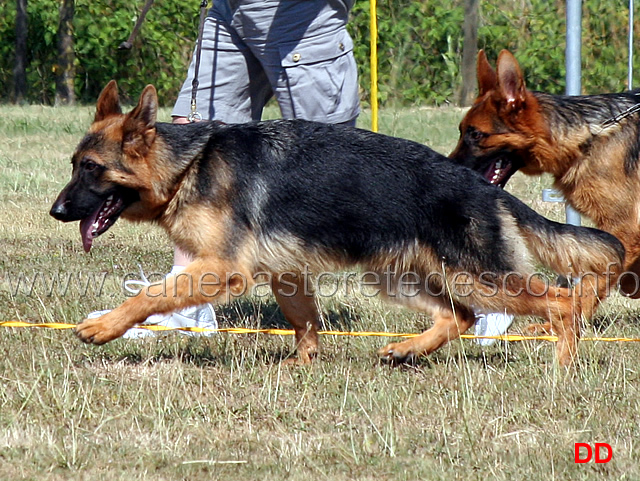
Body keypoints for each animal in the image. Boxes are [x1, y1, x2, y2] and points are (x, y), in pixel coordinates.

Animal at [51, 80, 624, 364]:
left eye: (91, 168)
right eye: (74, 164)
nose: (56, 212)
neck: (190, 163)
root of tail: (482, 187)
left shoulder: (220, 268)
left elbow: (152, 294)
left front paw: (105, 327)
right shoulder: (285, 273)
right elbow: (305, 322)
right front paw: (301, 367)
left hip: (479, 277)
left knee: (559, 303)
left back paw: (564, 366)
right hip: (398, 277)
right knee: (459, 316)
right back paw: (406, 350)